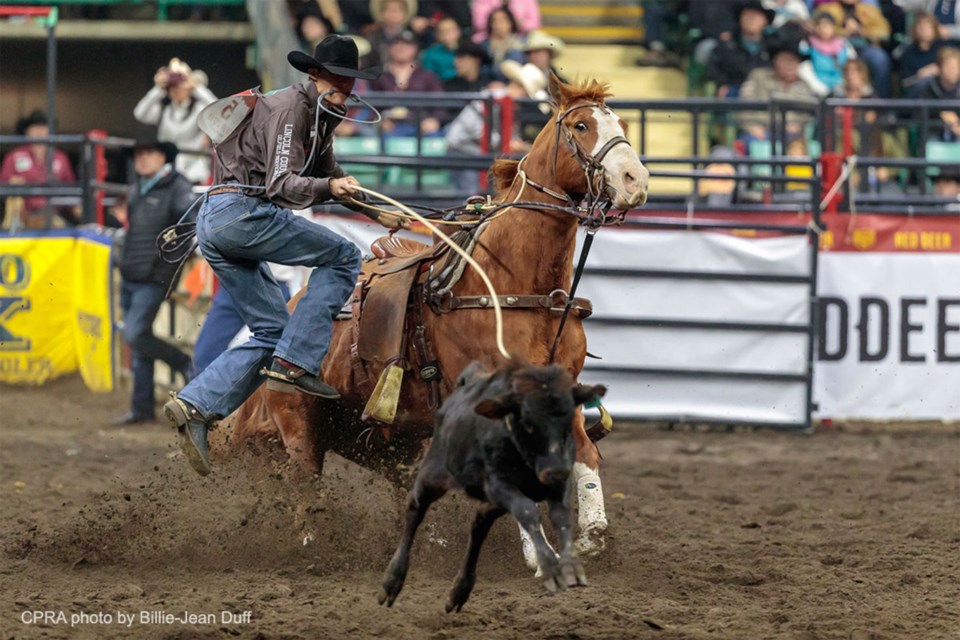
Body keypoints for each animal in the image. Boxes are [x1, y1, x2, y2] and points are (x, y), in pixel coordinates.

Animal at [217, 74, 648, 556]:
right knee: (304, 479)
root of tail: (282, 323)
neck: (515, 284)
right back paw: (311, 542)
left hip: (397, 438)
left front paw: (591, 533)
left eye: (621, 124)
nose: (636, 180)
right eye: (579, 125)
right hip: (299, 420)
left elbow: (585, 455)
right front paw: (539, 554)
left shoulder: (560, 388)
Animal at [378, 362, 604, 612]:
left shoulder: (555, 489)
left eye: (566, 421)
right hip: (435, 474)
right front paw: (548, 566)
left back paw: (460, 590)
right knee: (415, 508)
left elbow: (560, 519)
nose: (554, 470)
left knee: (478, 524)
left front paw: (570, 567)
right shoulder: (500, 485)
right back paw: (392, 580)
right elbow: (528, 511)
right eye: (527, 422)